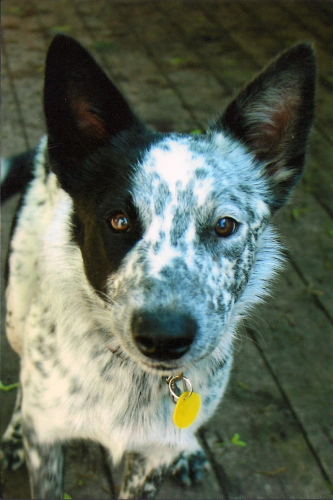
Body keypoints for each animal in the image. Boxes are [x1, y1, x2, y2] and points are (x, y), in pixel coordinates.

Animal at [1, 36, 316, 500]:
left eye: (225, 225)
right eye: (118, 220)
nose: (164, 338)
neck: (131, 378)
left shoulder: (151, 458)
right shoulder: (47, 444)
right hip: (16, 313)